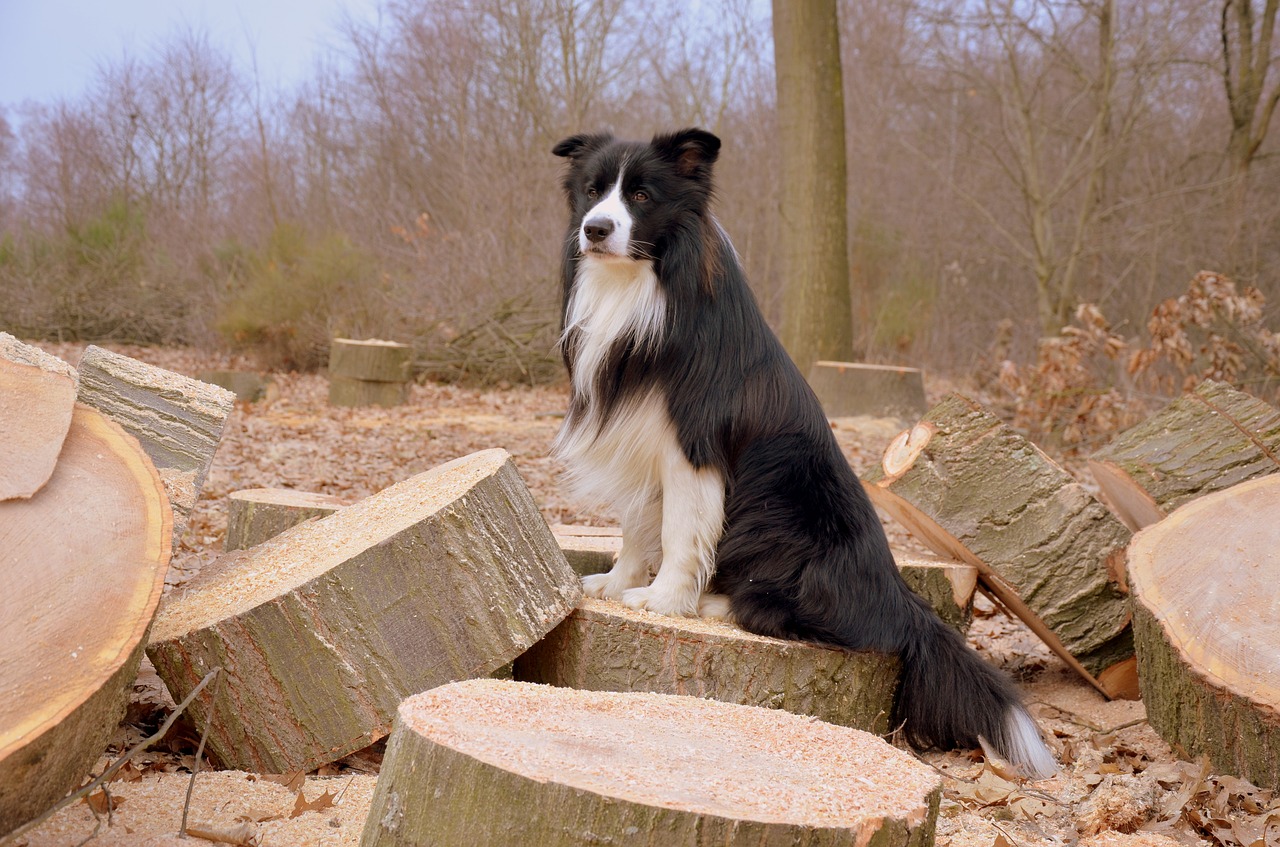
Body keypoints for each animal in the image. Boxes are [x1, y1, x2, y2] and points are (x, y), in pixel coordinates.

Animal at [552, 126, 1059, 783]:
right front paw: (617, 584)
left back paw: (717, 603)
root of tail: (900, 599)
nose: (595, 229)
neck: (643, 284)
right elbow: (641, 527)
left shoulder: (693, 446)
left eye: (640, 195)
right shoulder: (642, 443)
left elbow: (681, 533)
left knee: (807, 618)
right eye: (593, 191)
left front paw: (664, 602)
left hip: (782, 520)